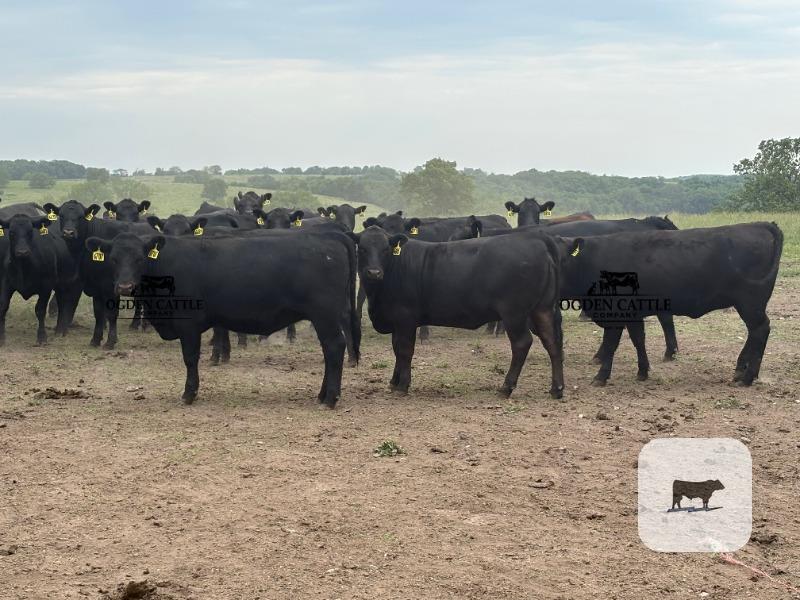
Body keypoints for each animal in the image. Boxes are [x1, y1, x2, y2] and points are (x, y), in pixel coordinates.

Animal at [0, 215, 80, 345]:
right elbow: (3, 306)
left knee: (67, 304)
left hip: (69, 282)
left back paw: (62, 330)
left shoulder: (46, 286)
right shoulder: (6, 283)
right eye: (11, 232)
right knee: (61, 303)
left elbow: (40, 310)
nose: (22, 252)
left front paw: (42, 337)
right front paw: (1, 337)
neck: (24, 267)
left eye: (30, 232)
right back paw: (58, 330)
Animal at [84, 230, 360, 407]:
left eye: (140, 258)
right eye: (114, 259)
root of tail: (328, 236)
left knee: (335, 347)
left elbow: (190, 358)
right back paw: (322, 394)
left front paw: (189, 393)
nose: (124, 287)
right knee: (329, 351)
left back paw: (330, 398)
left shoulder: (188, 324)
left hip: (325, 314)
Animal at [351, 225, 564, 399]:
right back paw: (557, 389)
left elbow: (404, 350)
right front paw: (394, 382)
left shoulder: (406, 318)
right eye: (362, 249)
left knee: (522, 344)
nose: (374, 272)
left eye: (385, 249)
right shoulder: (396, 321)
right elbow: (396, 348)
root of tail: (535, 238)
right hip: (542, 309)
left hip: (514, 313)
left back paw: (506, 388)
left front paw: (403, 385)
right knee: (552, 342)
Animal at [557, 222, 782, 386]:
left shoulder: (615, 314)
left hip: (750, 303)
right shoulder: (633, 314)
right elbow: (638, 339)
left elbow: (611, 344)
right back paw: (741, 371)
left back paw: (747, 377)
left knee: (760, 330)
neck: (591, 260)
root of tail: (758, 225)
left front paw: (601, 377)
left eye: (558, 257)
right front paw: (642, 372)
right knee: (755, 333)